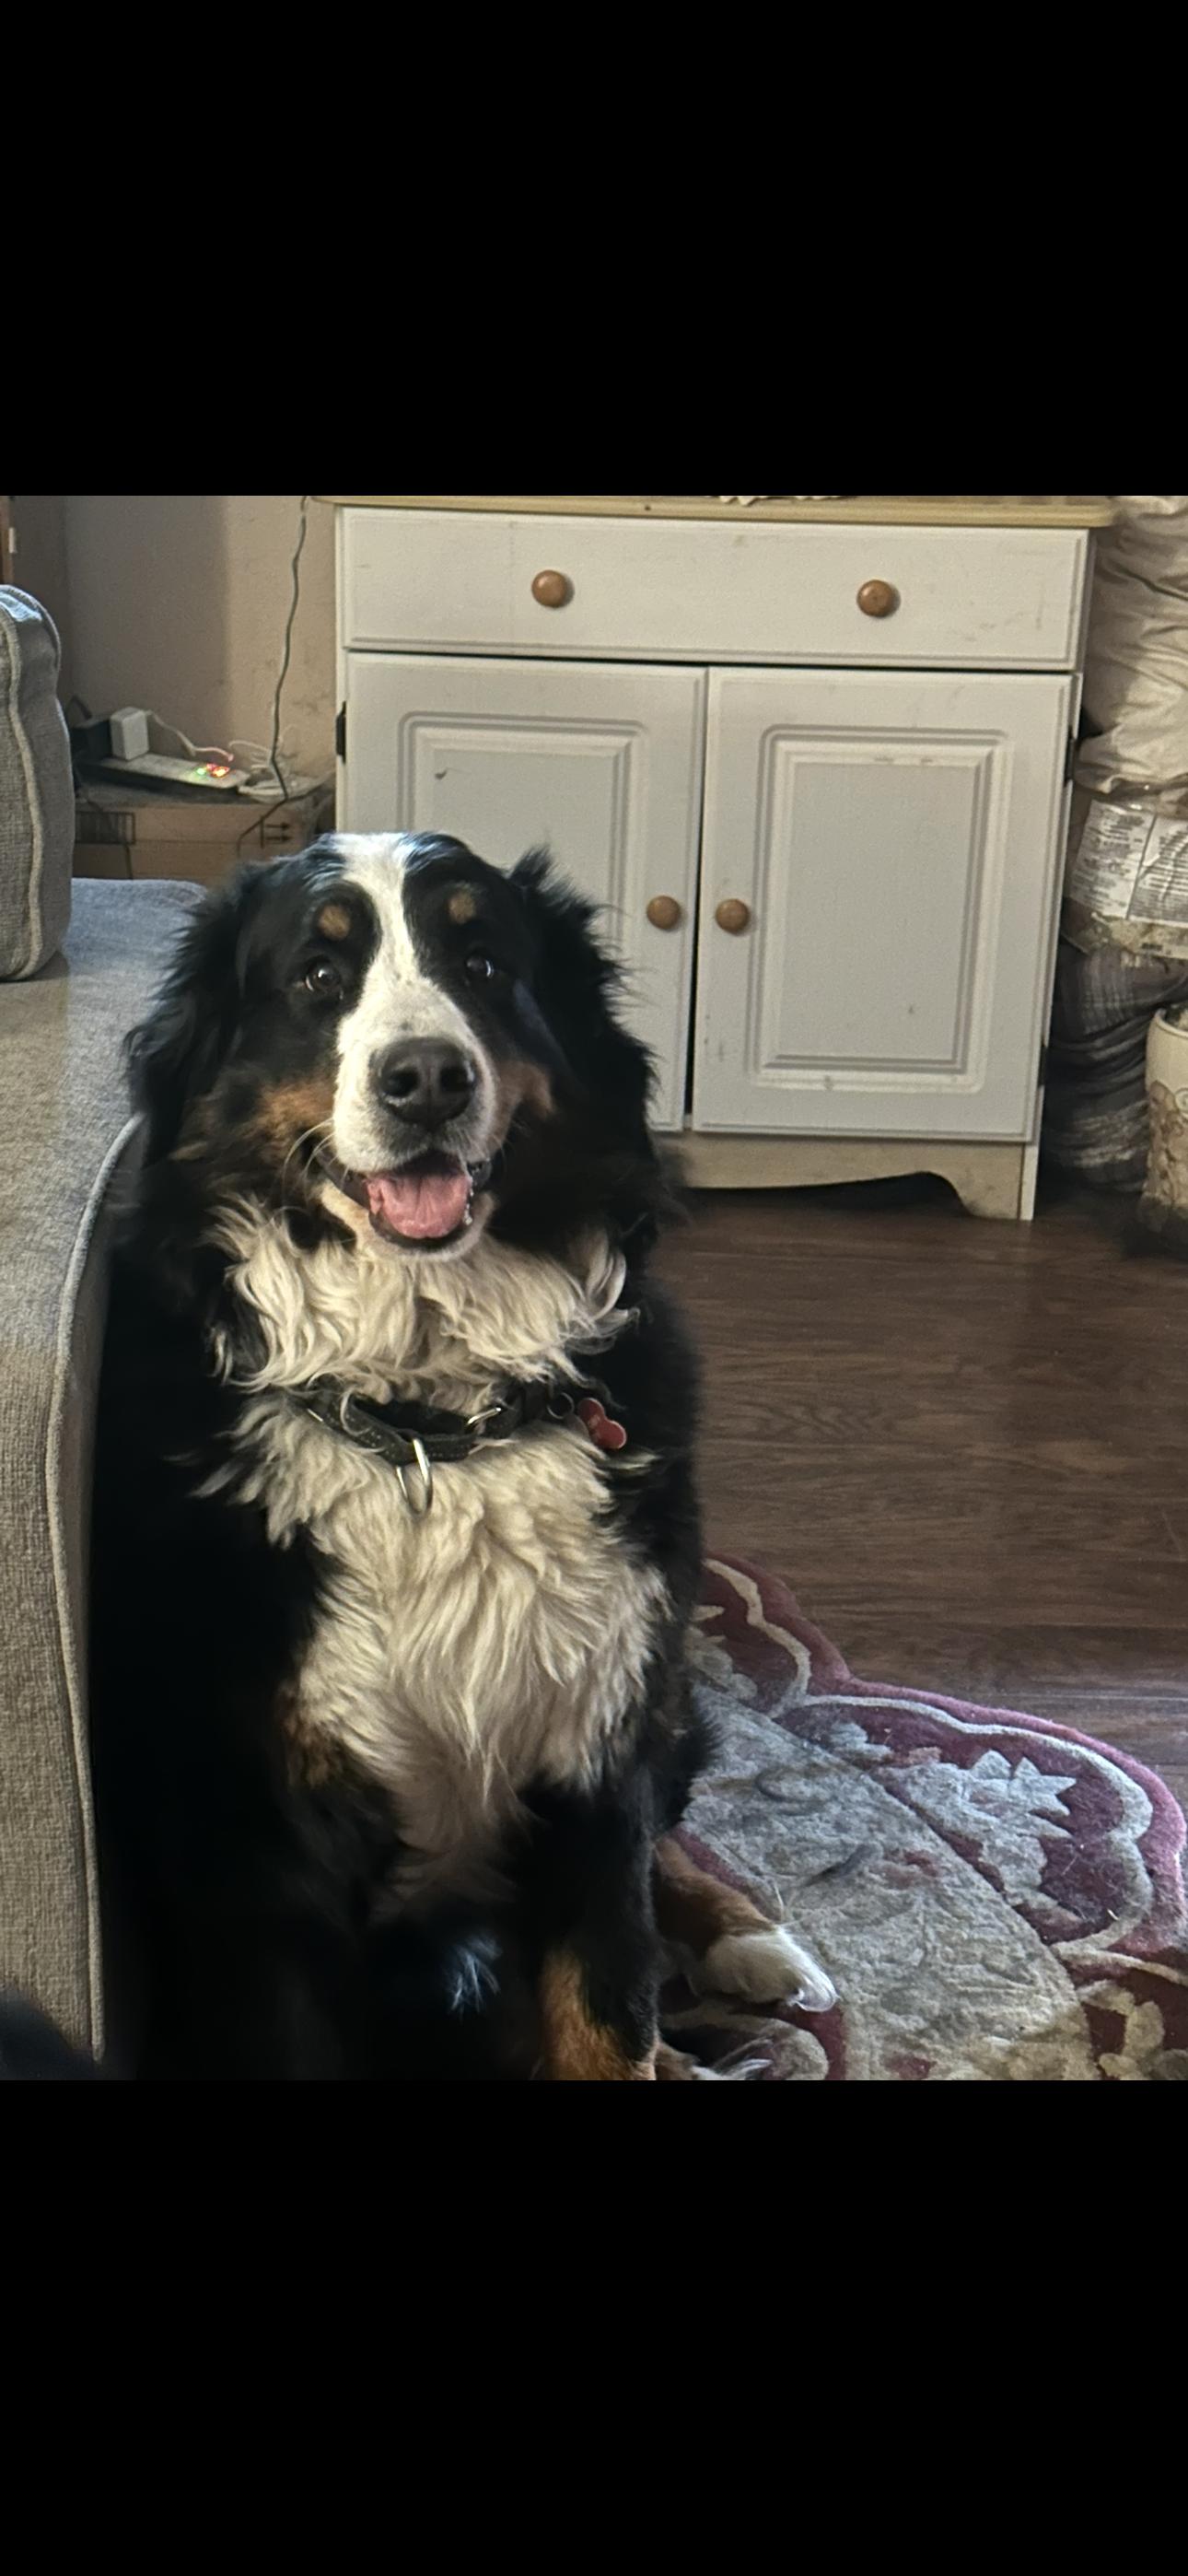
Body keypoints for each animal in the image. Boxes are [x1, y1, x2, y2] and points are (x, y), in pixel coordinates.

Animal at [91, 832, 833, 2078]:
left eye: (483, 964)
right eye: (317, 977)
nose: (428, 1077)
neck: (427, 1422)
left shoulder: (596, 1753)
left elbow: (614, 2002)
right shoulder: (258, 1854)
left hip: (659, 1695)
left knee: (669, 1832)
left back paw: (749, 1941)